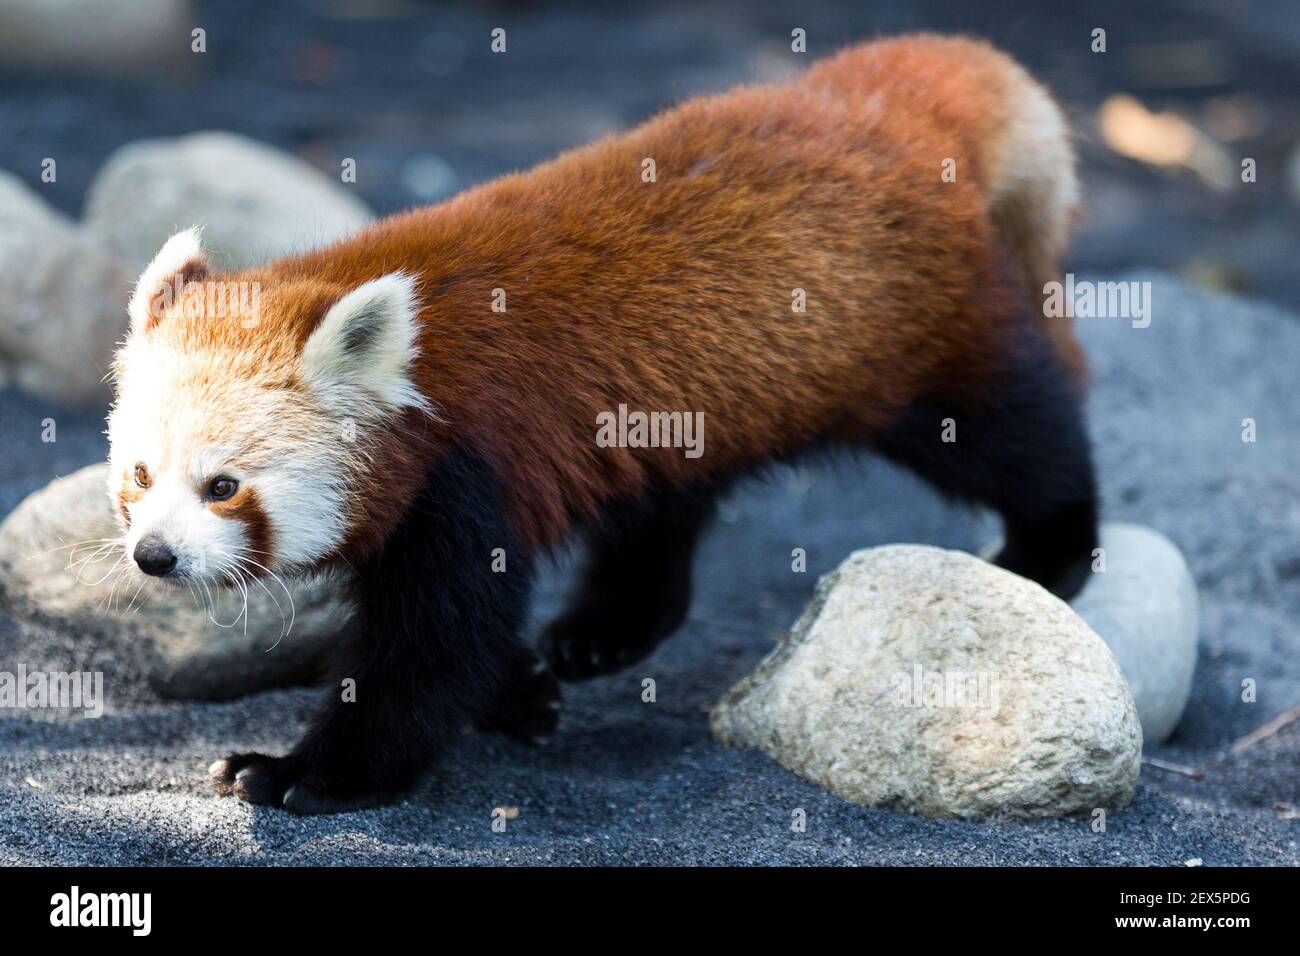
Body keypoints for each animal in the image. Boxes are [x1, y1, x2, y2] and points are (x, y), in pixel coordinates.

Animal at [106, 37, 1097, 816]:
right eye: (140, 478)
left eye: (224, 487)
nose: (155, 557)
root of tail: (882, 103)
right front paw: (522, 697)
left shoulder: (464, 478)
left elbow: (429, 655)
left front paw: (301, 774)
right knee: (662, 505)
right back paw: (606, 628)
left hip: (918, 341)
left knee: (1013, 436)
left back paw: (1053, 548)